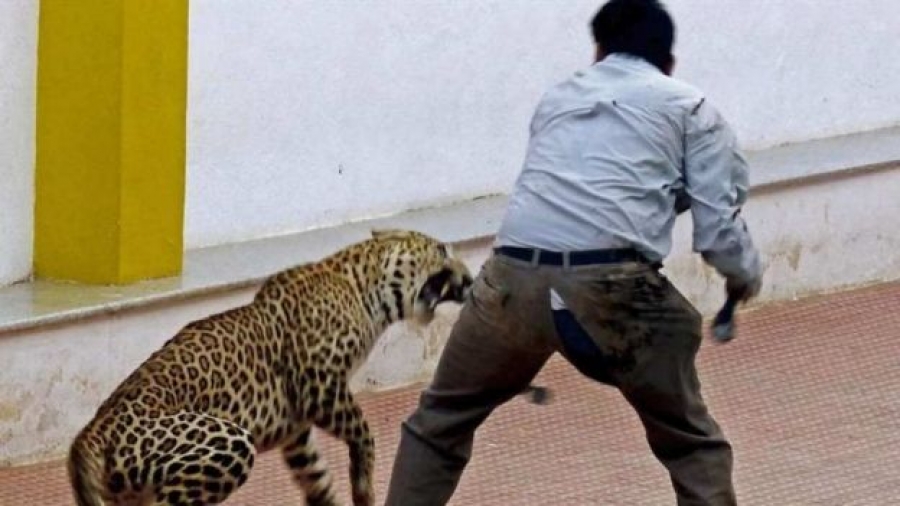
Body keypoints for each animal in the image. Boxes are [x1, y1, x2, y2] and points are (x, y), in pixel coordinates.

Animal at [67, 228, 474, 506]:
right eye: (441, 250)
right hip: (228, 442)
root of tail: (88, 436)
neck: (364, 290)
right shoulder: (320, 387)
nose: (471, 279)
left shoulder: (297, 431)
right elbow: (363, 432)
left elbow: (316, 476)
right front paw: (363, 484)